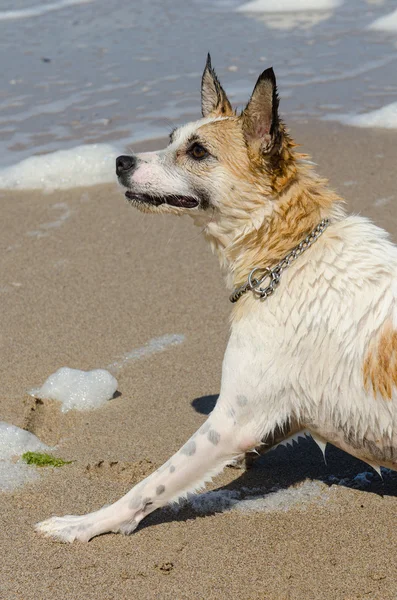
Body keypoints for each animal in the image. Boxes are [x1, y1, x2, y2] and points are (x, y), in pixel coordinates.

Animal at [36, 55, 396, 544]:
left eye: (197, 151)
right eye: (170, 138)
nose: (120, 160)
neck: (290, 255)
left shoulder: (231, 424)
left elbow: (152, 483)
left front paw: (88, 522)